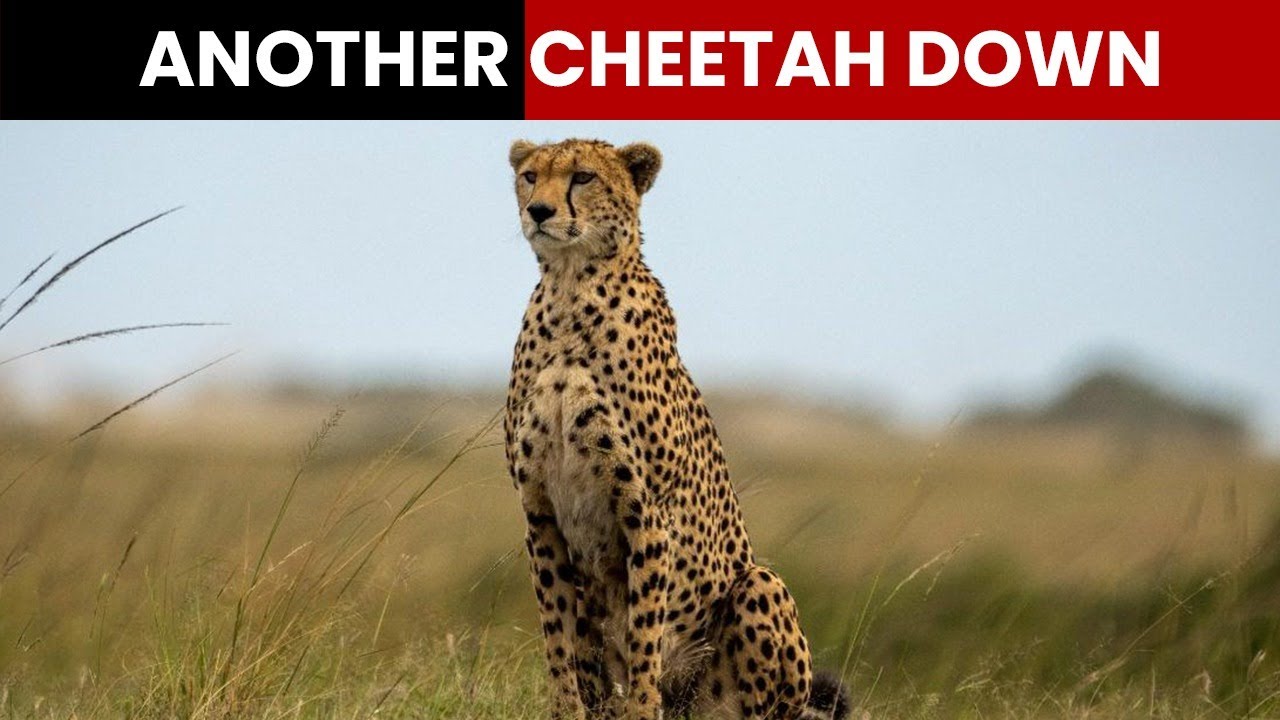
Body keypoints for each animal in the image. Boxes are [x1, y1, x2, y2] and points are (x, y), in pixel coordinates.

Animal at [503, 138, 850, 720]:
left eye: (582, 177)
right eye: (530, 176)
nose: (540, 211)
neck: (570, 288)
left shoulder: (646, 509)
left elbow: (644, 629)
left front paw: (643, 710)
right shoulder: (539, 509)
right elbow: (557, 634)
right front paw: (566, 709)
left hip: (760, 587)